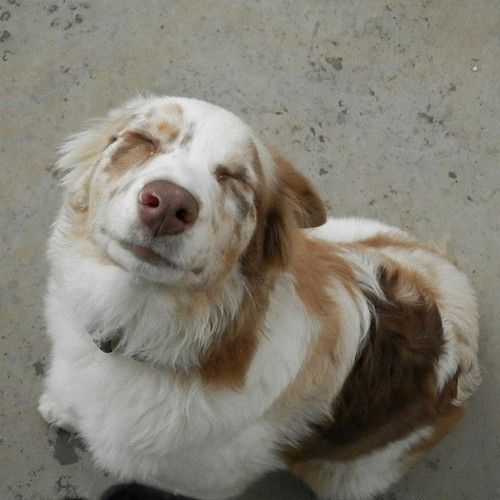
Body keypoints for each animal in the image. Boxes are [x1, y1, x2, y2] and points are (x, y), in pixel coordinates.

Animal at [40, 95, 480, 498]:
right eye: (143, 140)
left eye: (234, 178)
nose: (168, 204)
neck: (135, 330)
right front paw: (64, 407)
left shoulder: (206, 485)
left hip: (345, 479)